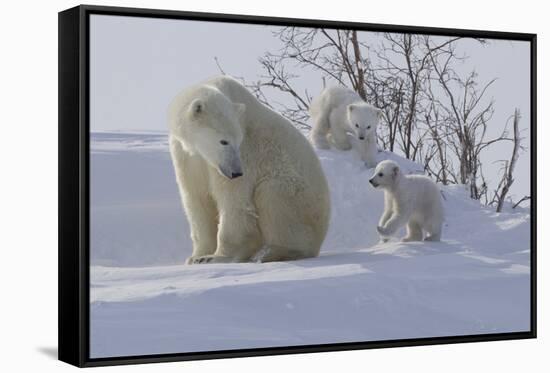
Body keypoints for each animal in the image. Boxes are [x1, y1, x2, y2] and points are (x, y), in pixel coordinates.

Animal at [168, 75, 332, 264]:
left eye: (237, 141)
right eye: (224, 141)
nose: (236, 172)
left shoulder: (247, 153)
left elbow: (234, 201)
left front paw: (216, 257)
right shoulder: (187, 156)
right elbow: (197, 198)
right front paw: (196, 257)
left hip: (304, 202)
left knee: (271, 194)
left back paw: (270, 253)